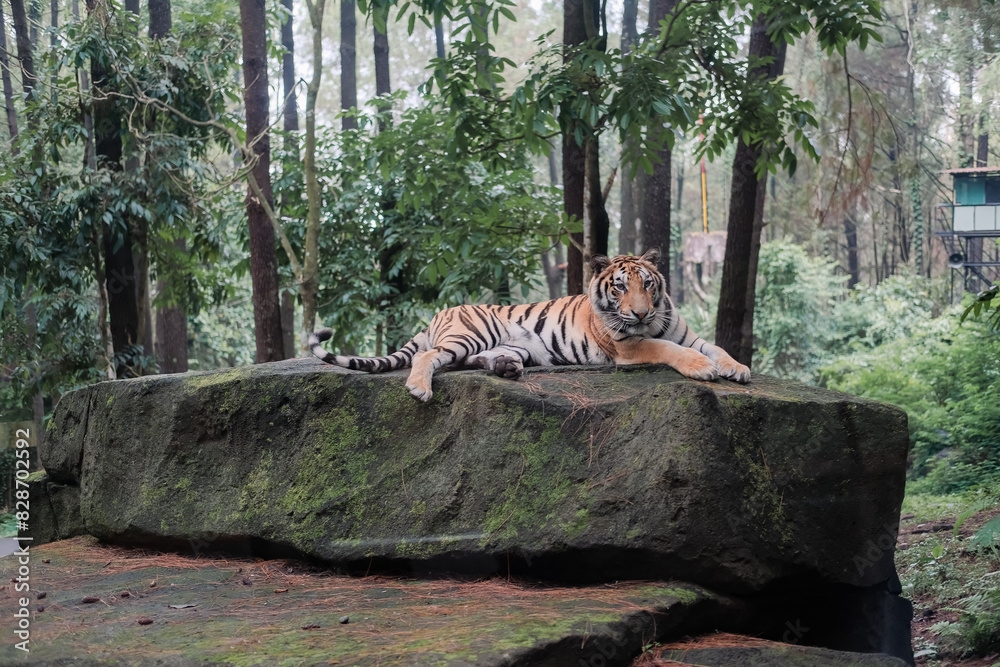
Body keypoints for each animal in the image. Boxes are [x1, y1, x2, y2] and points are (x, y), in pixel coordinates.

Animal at [309, 248, 750, 402]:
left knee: (471, 361)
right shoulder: (629, 345)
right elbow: (669, 349)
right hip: (472, 332)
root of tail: (439, 313)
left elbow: (714, 346)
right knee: (432, 356)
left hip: (512, 344)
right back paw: (420, 388)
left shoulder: (687, 332)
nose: (641, 313)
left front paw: (737, 368)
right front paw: (703, 368)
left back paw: (506, 368)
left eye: (647, 284)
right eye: (620, 288)